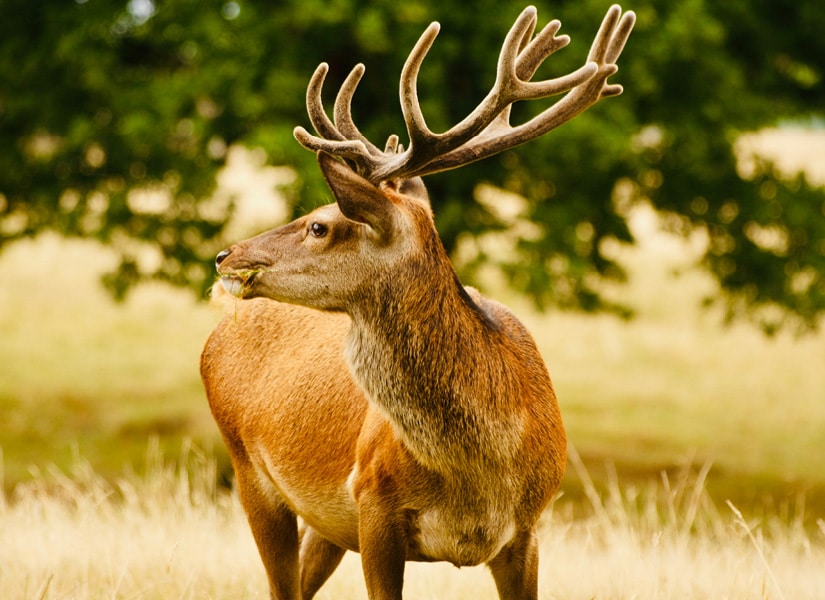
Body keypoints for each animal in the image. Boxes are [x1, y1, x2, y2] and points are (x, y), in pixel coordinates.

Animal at [200, 5, 634, 599]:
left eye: (320, 224)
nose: (226, 256)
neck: (481, 473)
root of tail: (214, 338)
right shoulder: (373, 503)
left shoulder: (528, 529)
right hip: (247, 467)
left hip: (321, 520)